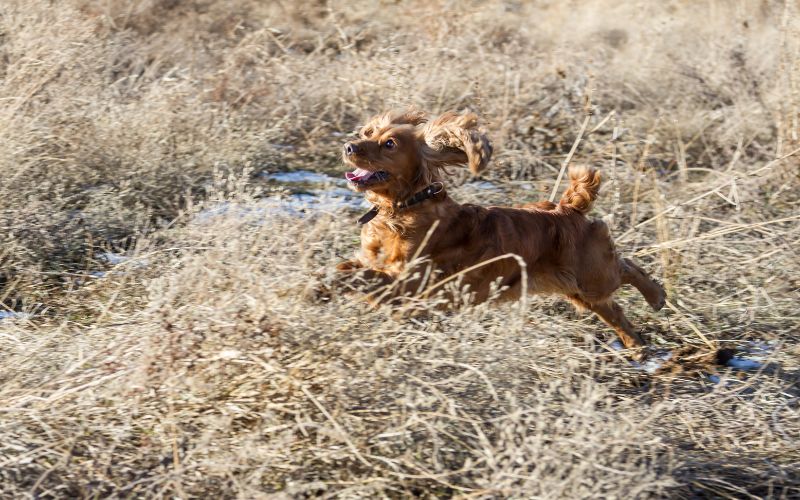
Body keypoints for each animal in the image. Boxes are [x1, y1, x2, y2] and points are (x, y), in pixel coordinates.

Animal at [332, 109, 664, 352]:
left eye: (390, 144)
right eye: (368, 133)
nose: (349, 146)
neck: (404, 208)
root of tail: (569, 208)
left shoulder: (406, 284)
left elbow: (362, 277)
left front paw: (325, 286)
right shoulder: (377, 267)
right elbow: (348, 267)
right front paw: (327, 283)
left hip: (591, 276)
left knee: (628, 268)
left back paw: (657, 297)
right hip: (579, 290)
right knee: (615, 311)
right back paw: (636, 345)